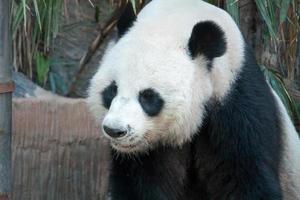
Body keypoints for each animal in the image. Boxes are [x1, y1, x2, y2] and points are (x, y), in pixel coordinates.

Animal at [86, 0, 300, 198]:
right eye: (111, 90)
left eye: (148, 96)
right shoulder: (145, 153)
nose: (115, 130)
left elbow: (245, 177)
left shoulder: (237, 102)